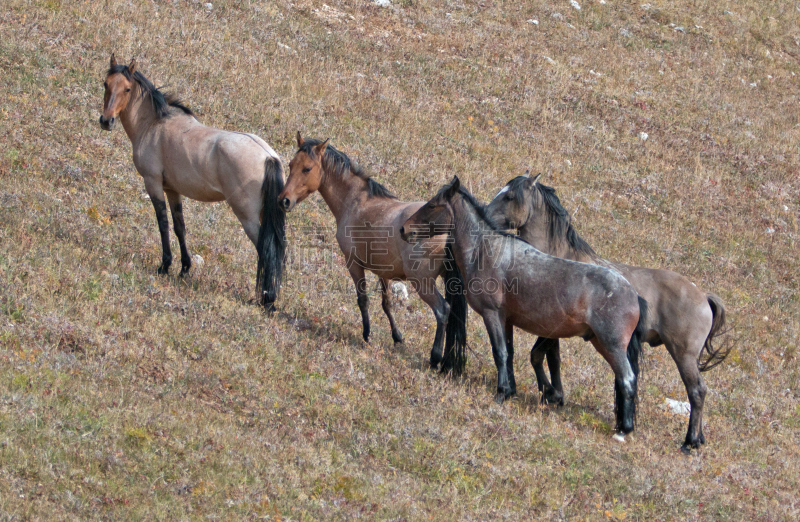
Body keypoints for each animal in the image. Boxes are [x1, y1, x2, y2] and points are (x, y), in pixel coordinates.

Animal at [99, 55, 286, 308]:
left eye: (127, 89)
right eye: (106, 84)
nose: (106, 121)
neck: (154, 124)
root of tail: (268, 156)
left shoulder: (153, 183)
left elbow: (163, 224)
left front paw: (165, 265)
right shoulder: (172, 190)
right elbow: (180, 227)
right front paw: (184, 268)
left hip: (248, 218)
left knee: (265, 250)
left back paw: (267, 299)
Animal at [278, 133, 466, 370]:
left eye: (307, 168)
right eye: (291, 165)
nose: (283, 200)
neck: (357, 202)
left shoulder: (353, 263)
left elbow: (363, 300)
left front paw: (367, 335)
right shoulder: (383, 271)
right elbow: (387, 304)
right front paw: (397, 337)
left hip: (423, 283)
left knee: (443, 311)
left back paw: (435, 357)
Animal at [400, 177, 648, 436]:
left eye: (432, 205)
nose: (404, 229)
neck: (486, 250)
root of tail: (634, 295)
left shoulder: (492, 315)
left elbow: (499, 352)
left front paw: (501, 393)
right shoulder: (507, 320)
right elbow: (509, 354)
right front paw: (511, 390)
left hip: (612, 346)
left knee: (628, 379)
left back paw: (624, 429)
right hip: (601, 343)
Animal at [482, 175, 732, 450]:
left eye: (509, 196)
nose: (484, 213)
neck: (557, 260)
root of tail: (704, 297)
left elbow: (539, 356)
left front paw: (551, 394)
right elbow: (550, 359)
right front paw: (553, 394)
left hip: (683, 355)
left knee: (697, 391)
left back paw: (690, 442)